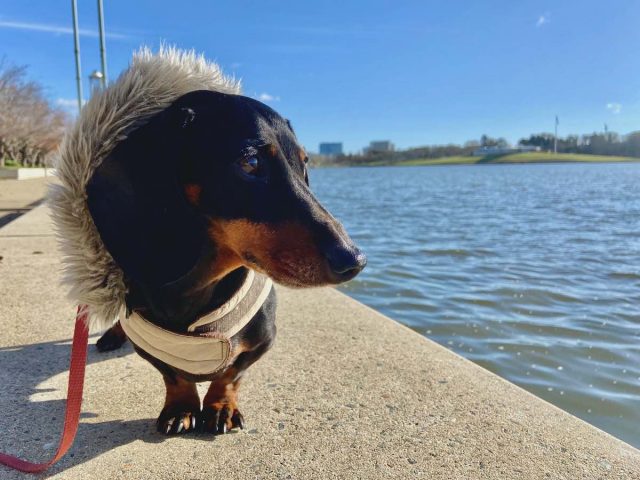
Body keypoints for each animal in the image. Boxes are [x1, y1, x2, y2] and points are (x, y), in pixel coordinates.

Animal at [82, 87, 364, 436]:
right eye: (250, 161)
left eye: (304, 164)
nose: (354, 259)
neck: (195, 289)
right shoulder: (147, 344)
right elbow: (172, 375)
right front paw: (181, 406)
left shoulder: (263, 340)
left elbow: (231, 375)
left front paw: (219, 407)